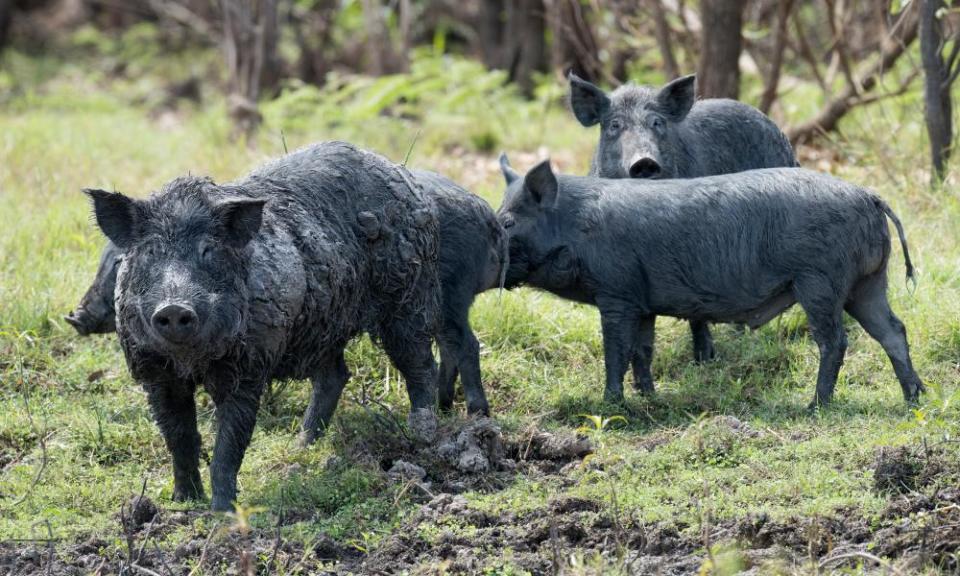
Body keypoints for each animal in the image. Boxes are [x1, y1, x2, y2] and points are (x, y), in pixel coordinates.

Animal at [68, 171, 506, 418]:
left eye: (117, 264)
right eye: (137, 258)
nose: (75, 316)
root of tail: (487, 215)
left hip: (431, 298)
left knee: (457, 347)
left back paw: (466, 417)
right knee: (340, 374)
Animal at [496, 160, 924, 408]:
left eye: (508, 222)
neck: (575, 228)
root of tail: (869, 196)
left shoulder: (616, 293)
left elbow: (615, 351)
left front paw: (610, 406)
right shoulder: (642, 302)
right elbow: (642, 352)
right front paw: (650, 398)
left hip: (820, 281)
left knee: (835, 341)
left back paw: (814, 406)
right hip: (866, 283)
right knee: (894, 330)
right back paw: (915, 397)